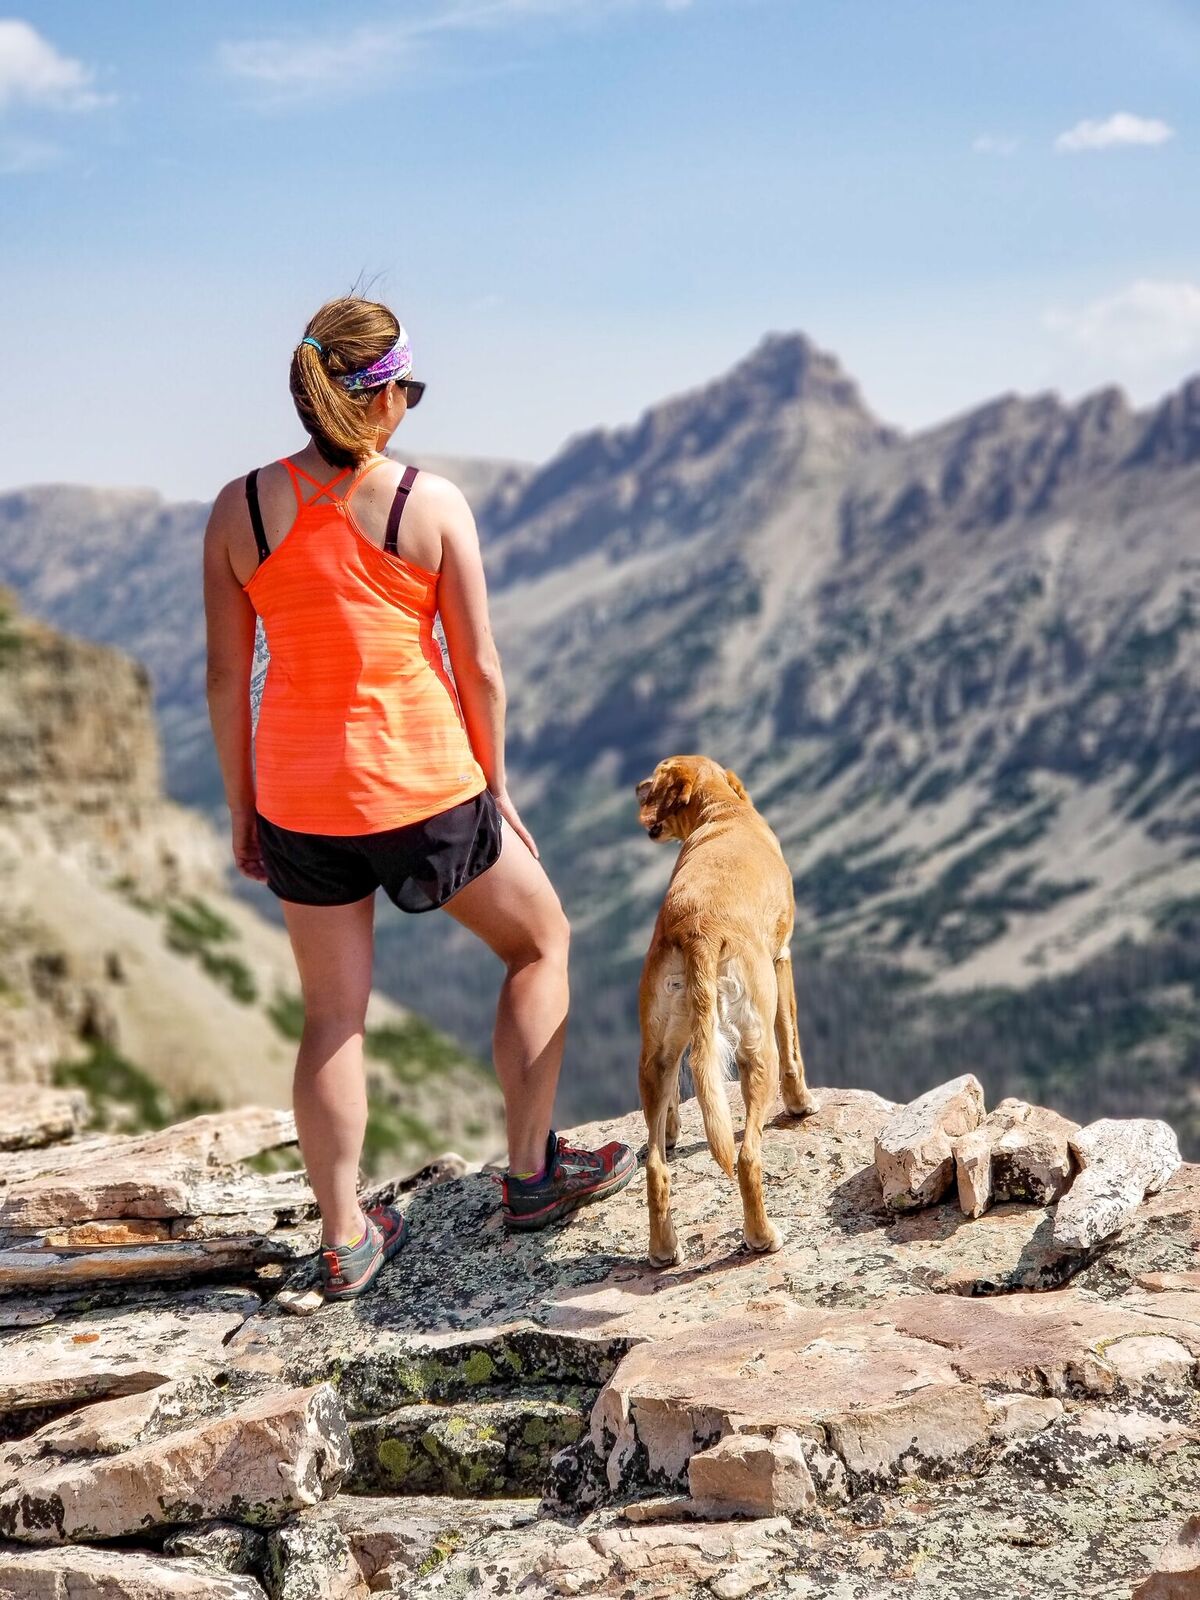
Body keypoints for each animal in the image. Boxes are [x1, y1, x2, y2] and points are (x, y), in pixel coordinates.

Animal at [630, 755, 819, 1267]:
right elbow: (794, 1043)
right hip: (756, 1046)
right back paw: (762, 1235)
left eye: (655, 774)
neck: (721, 814)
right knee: (748, 1155)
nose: (636, 786)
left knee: (655, 1166)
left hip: (655, 1051)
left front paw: (672, 1129)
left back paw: (663, 1249)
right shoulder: (783, 959)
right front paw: (802, 1103)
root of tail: (698, 928)